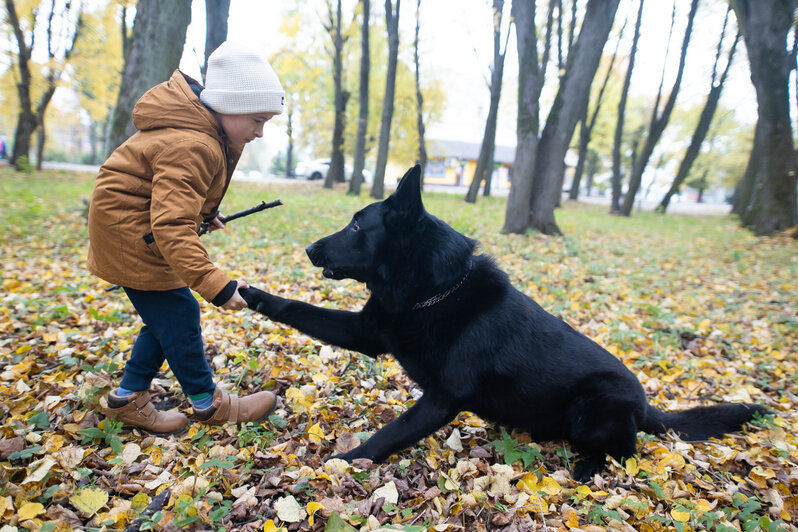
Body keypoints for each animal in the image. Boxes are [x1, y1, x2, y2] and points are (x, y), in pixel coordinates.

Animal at [242, 164, 768, 480]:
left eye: (356, 226)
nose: (309, 249)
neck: (430, 293)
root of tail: (645, 406)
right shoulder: (367, 333)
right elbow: (299, 309)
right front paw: (252, 294)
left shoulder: (441, 399)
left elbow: (387, 435)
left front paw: (341, 464)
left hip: (594, 405)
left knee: (627, 449)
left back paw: (588, 466)